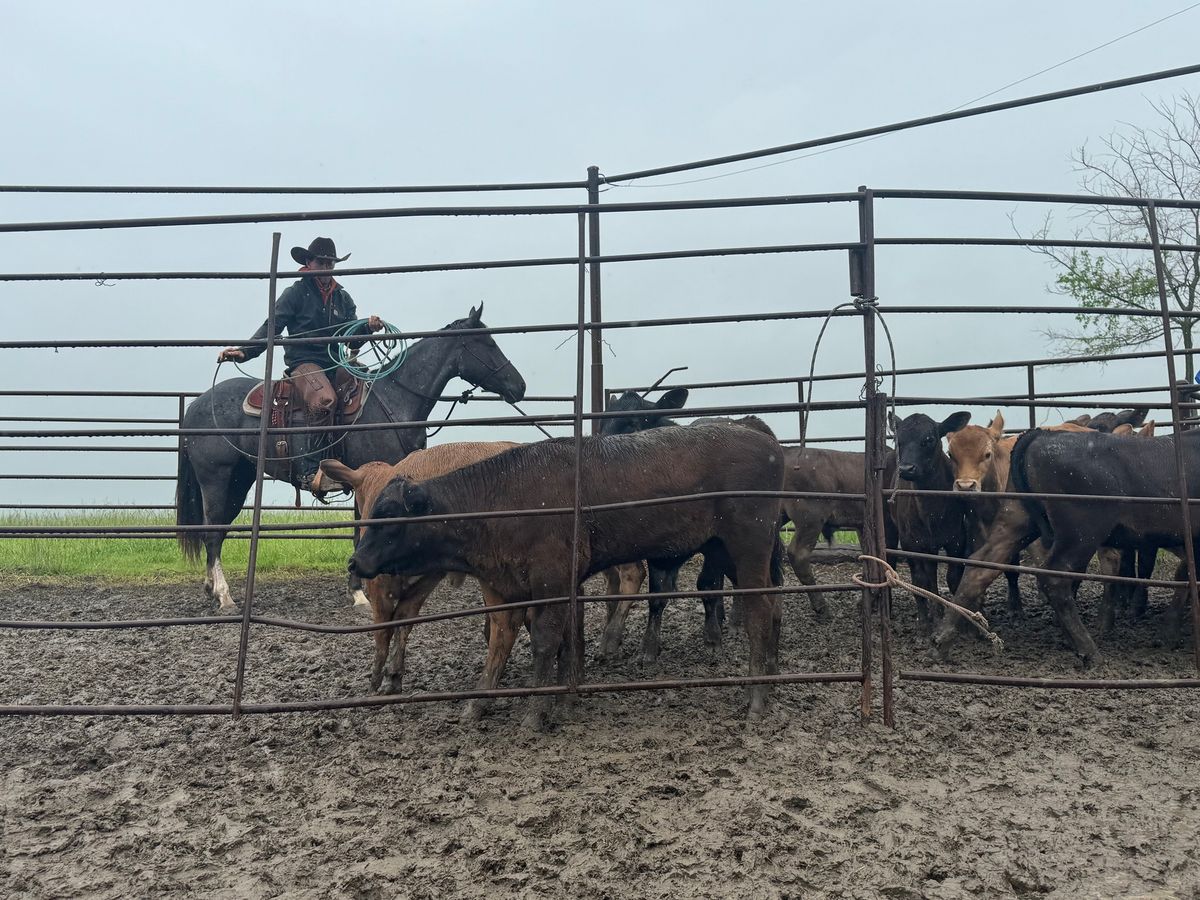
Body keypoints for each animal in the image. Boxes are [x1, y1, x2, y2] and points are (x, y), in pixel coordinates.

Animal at [175, 304, 525, 614]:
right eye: (488, 343)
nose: (519, 386)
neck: (393, 400)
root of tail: (196, 405)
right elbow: (362, 533)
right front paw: (359, 594)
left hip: (239, 479)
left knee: (215, 529)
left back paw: (211, 587)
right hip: (217, 478)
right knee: (212, 533)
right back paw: (225, 597)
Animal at [350, 427, 787, 729]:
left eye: (388, 516)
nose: (355, 562)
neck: (502, 497)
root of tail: (768, 445)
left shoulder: (552, 582)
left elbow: (546, 643)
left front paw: (537, 711)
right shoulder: (504, 587)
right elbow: (509, 643)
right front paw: (482, 704)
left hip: (747, 549)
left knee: (759, 611)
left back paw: (756, 698)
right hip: (727, 552)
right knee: (774, 606)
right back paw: (772, 675)